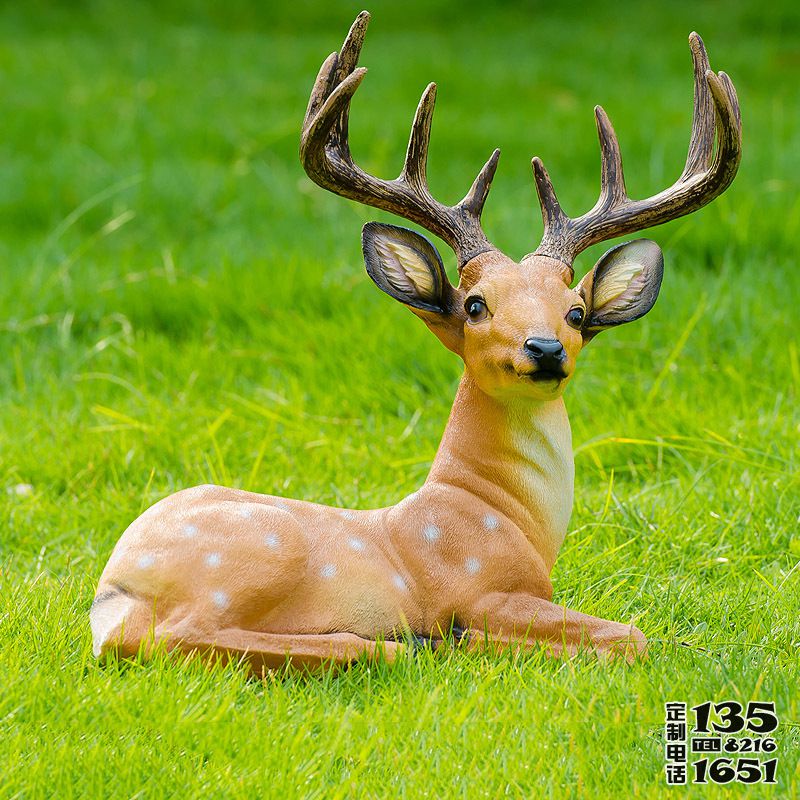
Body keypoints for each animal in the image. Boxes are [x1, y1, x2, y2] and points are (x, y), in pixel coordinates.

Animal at [90, 14, 740, 676]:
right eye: (476, 305)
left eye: (576, 313)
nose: (544, 348)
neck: (502, 519)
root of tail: (111, 593)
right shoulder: (481, 589)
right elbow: (632, 636)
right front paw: (474, 640)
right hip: (257, 556)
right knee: (173, 637)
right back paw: (392, 645)